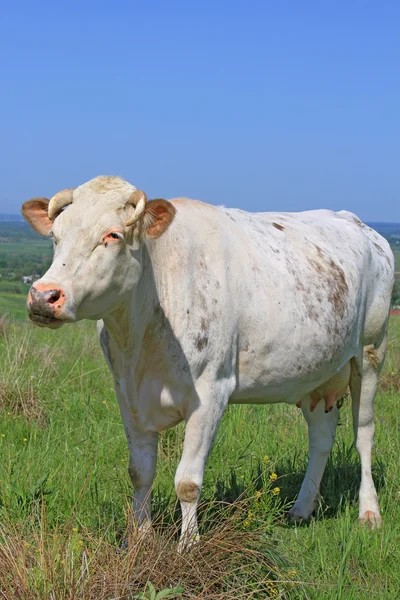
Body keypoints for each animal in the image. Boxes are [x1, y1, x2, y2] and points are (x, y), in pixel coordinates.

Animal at [21, 176, 394, 548]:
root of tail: (359, 225)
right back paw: (302, 508)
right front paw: (139, 541)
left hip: (371, 353)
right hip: (317, 374)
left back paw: (369, 512)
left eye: (112, 235)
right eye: (56, 236)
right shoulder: (127, 395)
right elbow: (139, 473)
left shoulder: (211, 392)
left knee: (364, 434)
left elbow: (187, 481)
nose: (43, 296)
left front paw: (189, 545)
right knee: (321, 437)